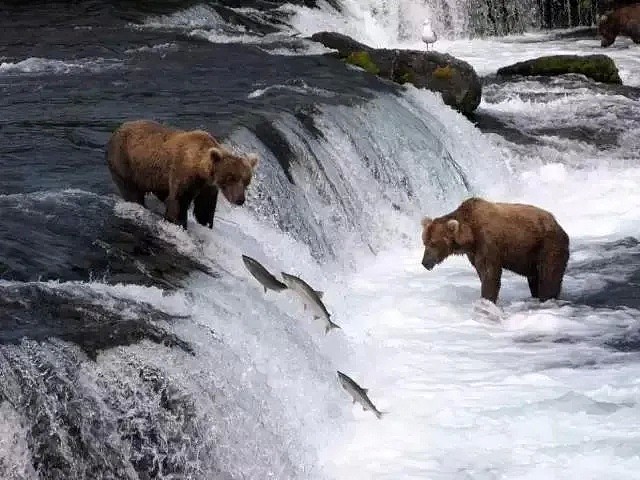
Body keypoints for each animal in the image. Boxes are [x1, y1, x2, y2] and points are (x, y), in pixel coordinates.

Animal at [106, 122, 258, 231]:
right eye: (231, 178)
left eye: (246, 181)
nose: (240, 200)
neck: (200, 168)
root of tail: (118, 129)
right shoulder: (183, 172)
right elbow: (178, 201)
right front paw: (178, 224)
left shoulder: (207, 186)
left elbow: (204, 207)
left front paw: (206, 223)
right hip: (125, 162)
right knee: (132, 192)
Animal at [422, 198, 568, 304]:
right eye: (424, 242)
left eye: (433, 243)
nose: (425, 262)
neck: (470, 235)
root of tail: (558, 224)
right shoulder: (473, 252)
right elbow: (482, 271)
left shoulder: (488, 242)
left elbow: (490, 272)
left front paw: (487, 299)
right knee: (535, 278)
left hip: (547, 245)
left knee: (549, 275)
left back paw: (547, 298)